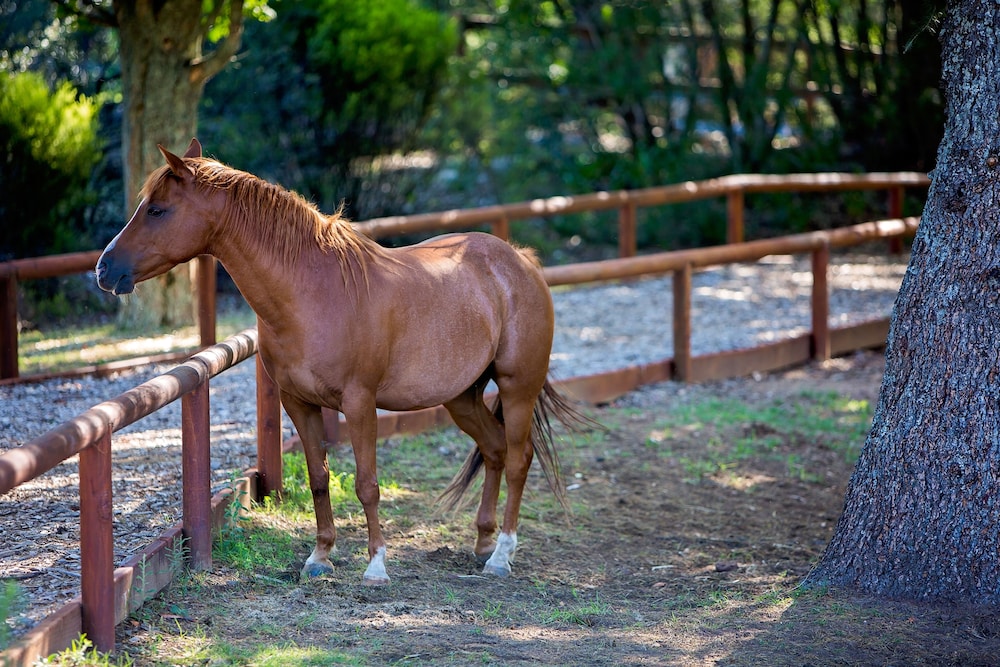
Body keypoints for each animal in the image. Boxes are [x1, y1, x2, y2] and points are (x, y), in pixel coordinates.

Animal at [97, 141, 584, 584]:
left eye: (157, 210)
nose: (104, 269)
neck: (312, 292)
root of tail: (519, 260)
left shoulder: (360, 404)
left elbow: (367, 485)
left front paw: (376, 565)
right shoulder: (298, 403)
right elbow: (319, 478)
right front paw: (320, 557)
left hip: (517, 389)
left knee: (519, 459)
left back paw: (501, 556)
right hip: (462, 397)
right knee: (495, 450)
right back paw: (483, 543)